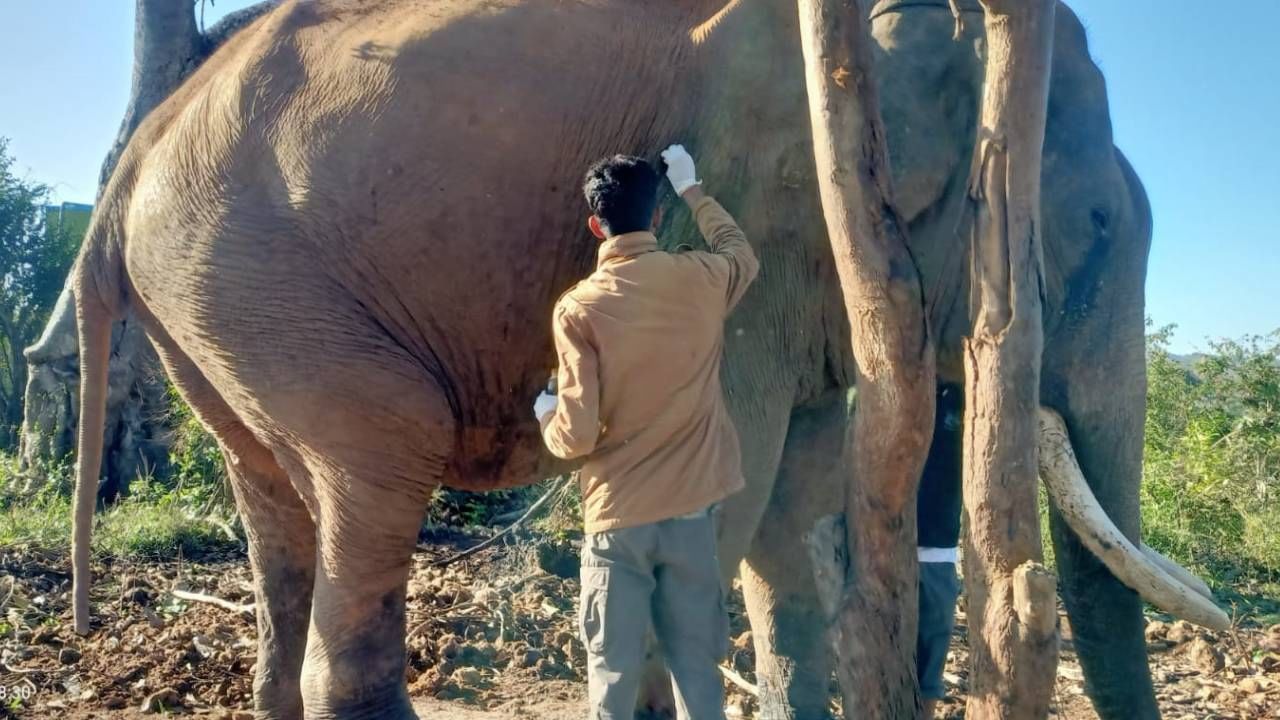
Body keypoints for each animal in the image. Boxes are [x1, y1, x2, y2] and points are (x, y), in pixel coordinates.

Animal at [64, 0, 1223, 712]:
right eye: (1096, 225)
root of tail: (129, 166)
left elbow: (791, 515)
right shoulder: (764, 192)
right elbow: (732, 491)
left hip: (210, 305)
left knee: (273, 506)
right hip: (248, 277)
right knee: (382, 453)